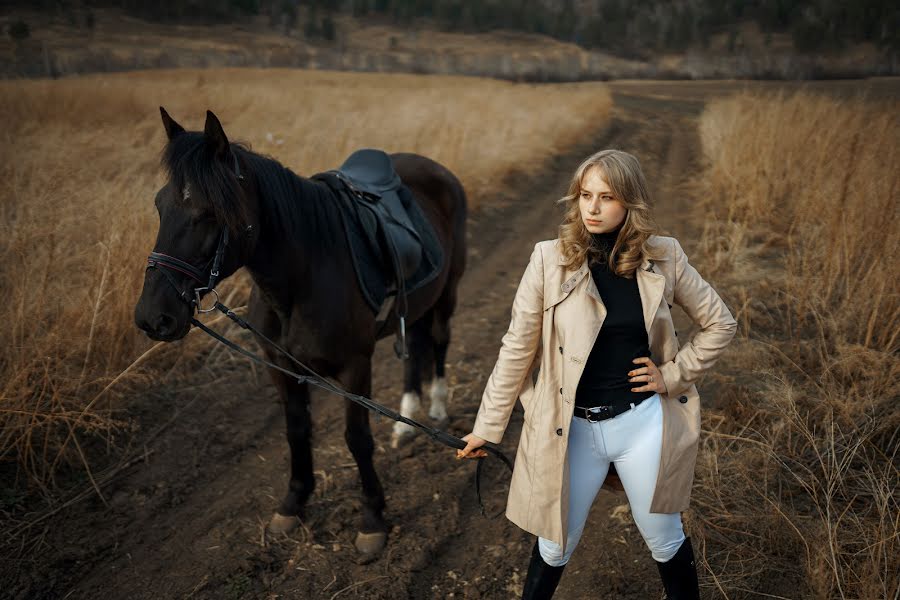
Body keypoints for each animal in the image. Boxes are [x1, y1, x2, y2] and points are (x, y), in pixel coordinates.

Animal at [135, 110, 472, 556]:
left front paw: (372, 519)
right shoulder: (280, 365)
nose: (152, 317)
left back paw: (435, 407)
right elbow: (296, 430)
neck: (301, 278)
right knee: (415, 348)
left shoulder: (354, 367)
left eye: (208, 212)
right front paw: (293, 503)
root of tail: (434, 168)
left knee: (439, 342)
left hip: (447, 292)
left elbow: (357, 437)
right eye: (160, 204)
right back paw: (405, 422)